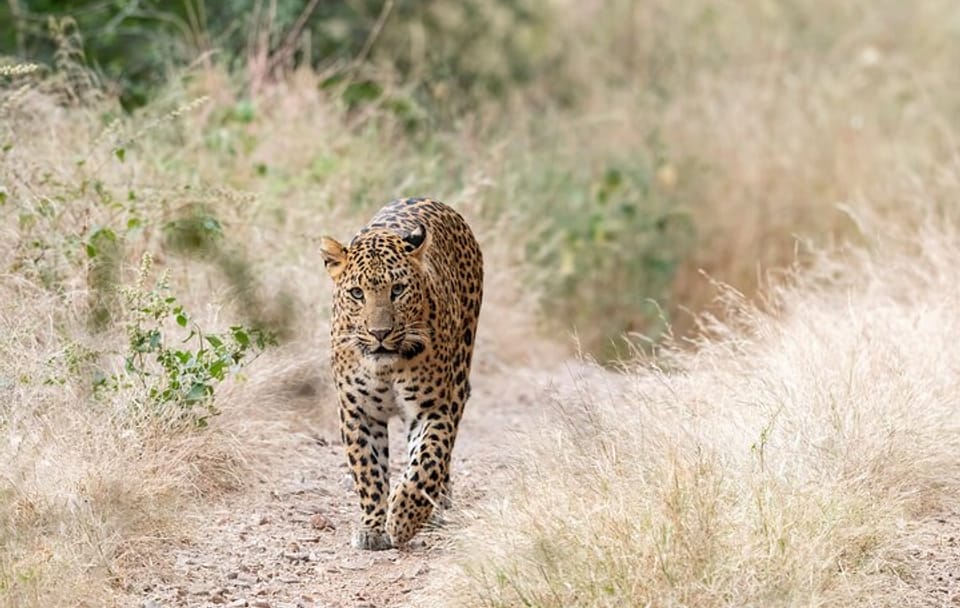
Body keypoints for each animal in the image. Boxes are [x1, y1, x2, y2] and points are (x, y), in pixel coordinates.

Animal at [319, 197, 483, 550]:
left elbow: (427, 461)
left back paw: (436, 507)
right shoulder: (358, 412)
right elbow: (368, 471)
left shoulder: (434, 408)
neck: (388, 367)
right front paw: (372, 528)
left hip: (460, 372)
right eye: (357, 293)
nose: (380, 333)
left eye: (397, 290)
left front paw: (404, 519)